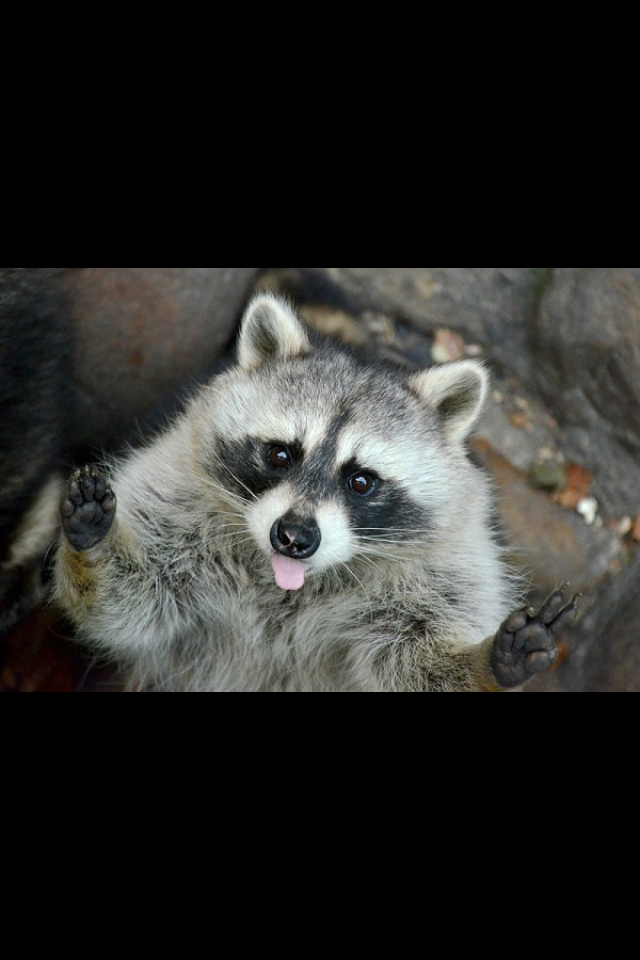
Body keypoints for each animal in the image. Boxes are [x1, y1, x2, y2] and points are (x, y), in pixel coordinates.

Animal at [52, 292, 576, 688]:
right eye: (281, 455)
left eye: (361, 481)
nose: (294, 538)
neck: (288, 585)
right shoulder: (179, 493)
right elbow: (130, 600)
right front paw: (97, 545)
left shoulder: (444, 565)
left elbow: (421, 662)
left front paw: (486, 663)